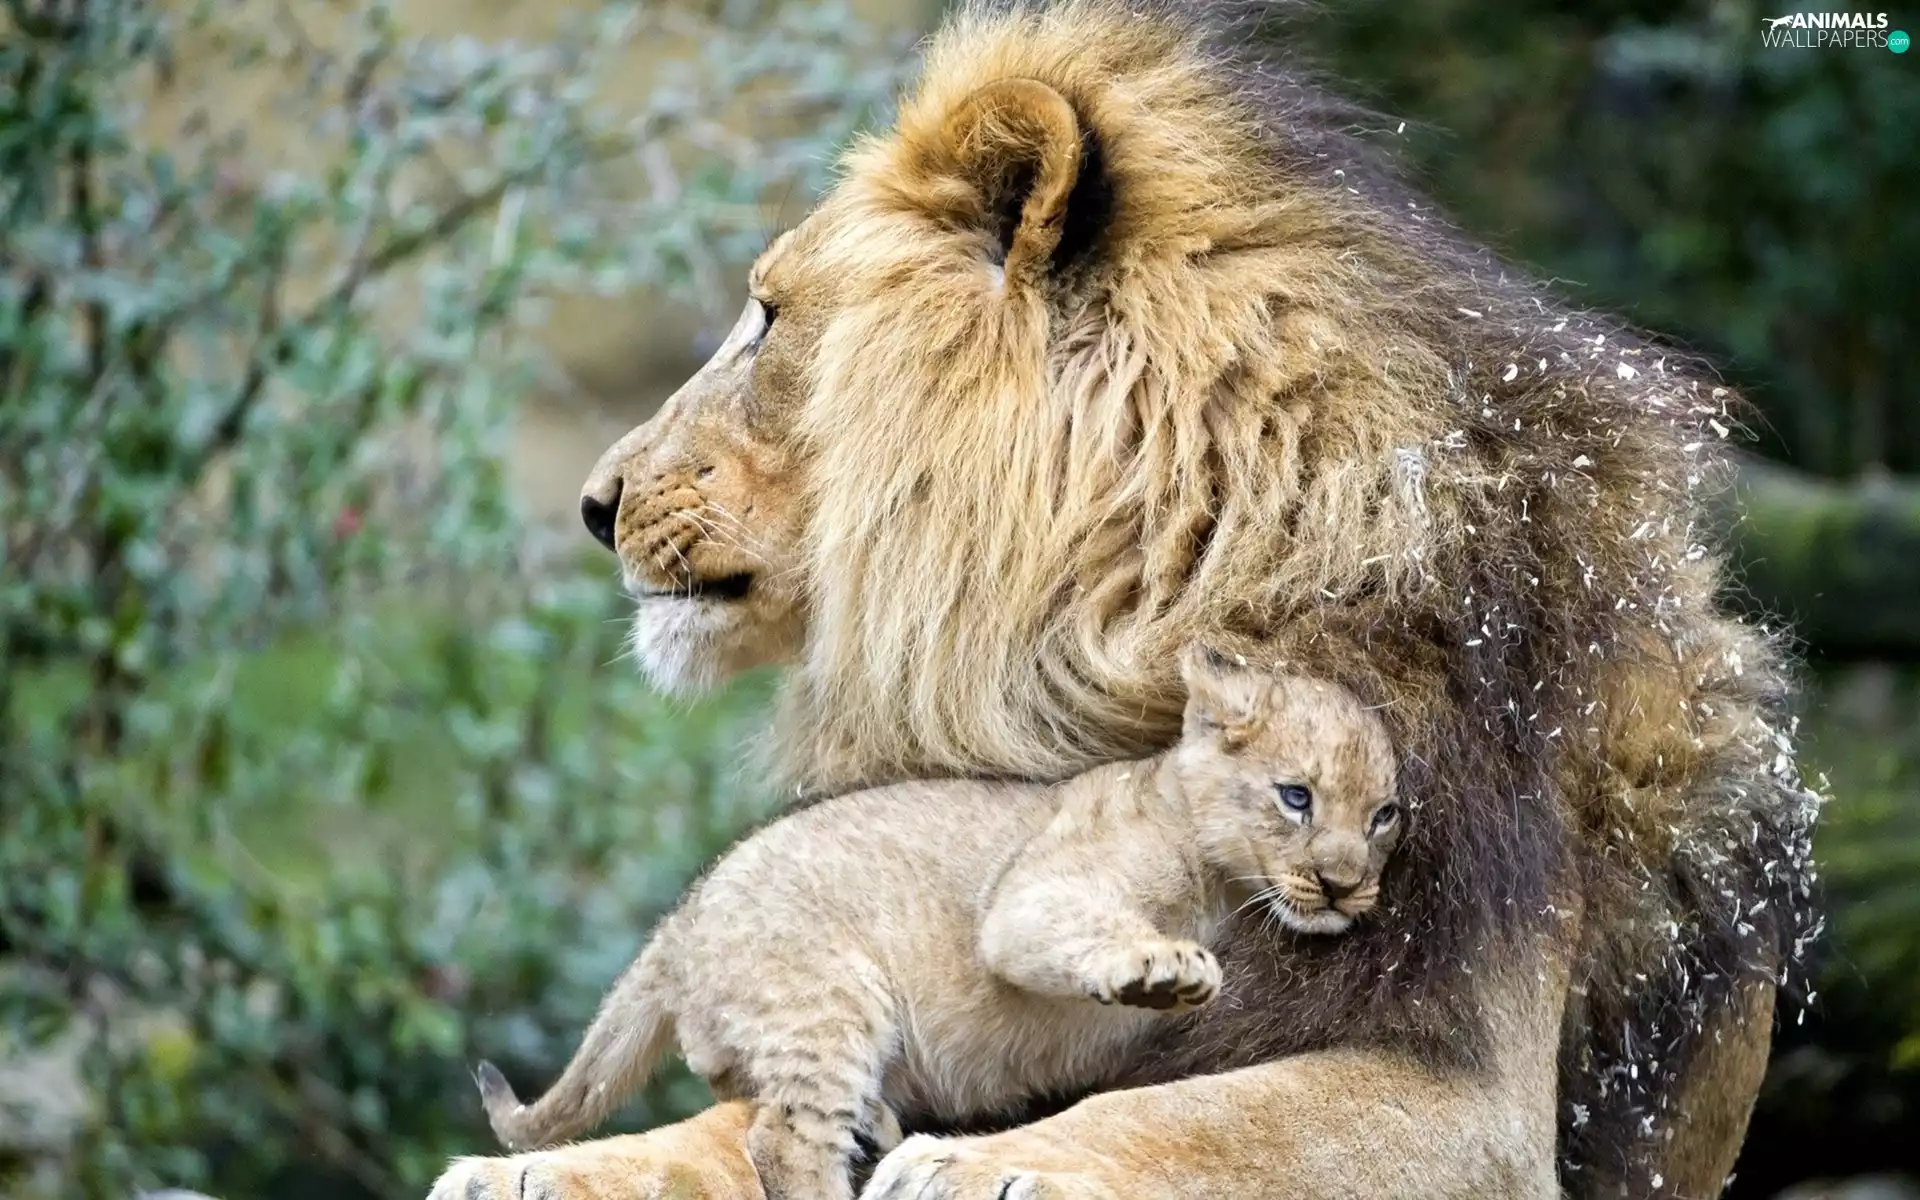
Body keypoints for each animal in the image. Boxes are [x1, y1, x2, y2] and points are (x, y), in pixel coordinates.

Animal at [432, 1, 1821, 1197]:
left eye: (770, 319)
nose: (595, 502)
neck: (1133, 622)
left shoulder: (1476, 1089)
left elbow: (1207, 1112)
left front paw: (986, 1162)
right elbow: (743, 1109)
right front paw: (551, 1166)